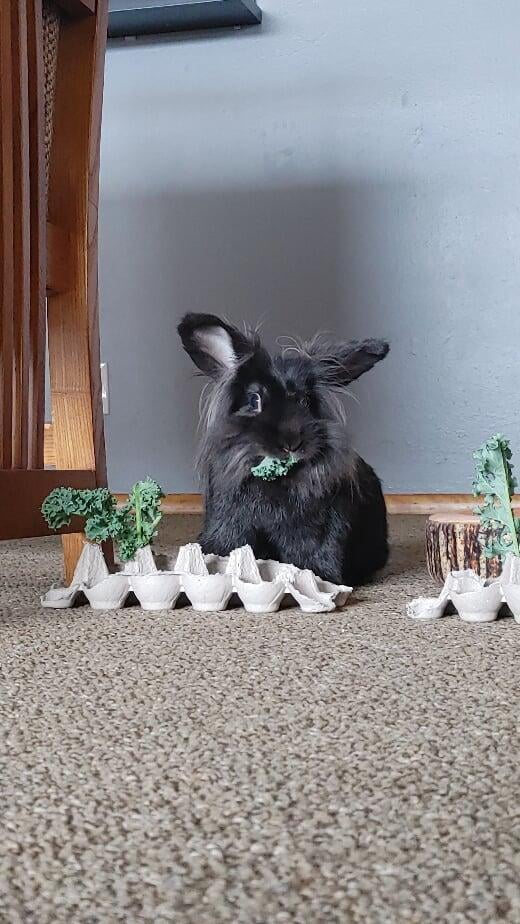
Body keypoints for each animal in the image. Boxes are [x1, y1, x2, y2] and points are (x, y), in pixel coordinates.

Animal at [179, 312, 390, 584]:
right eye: (254, 399)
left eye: (306, 401)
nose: (292, 442)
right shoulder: (229, 526)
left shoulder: (315, 533)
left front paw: (318, 576)